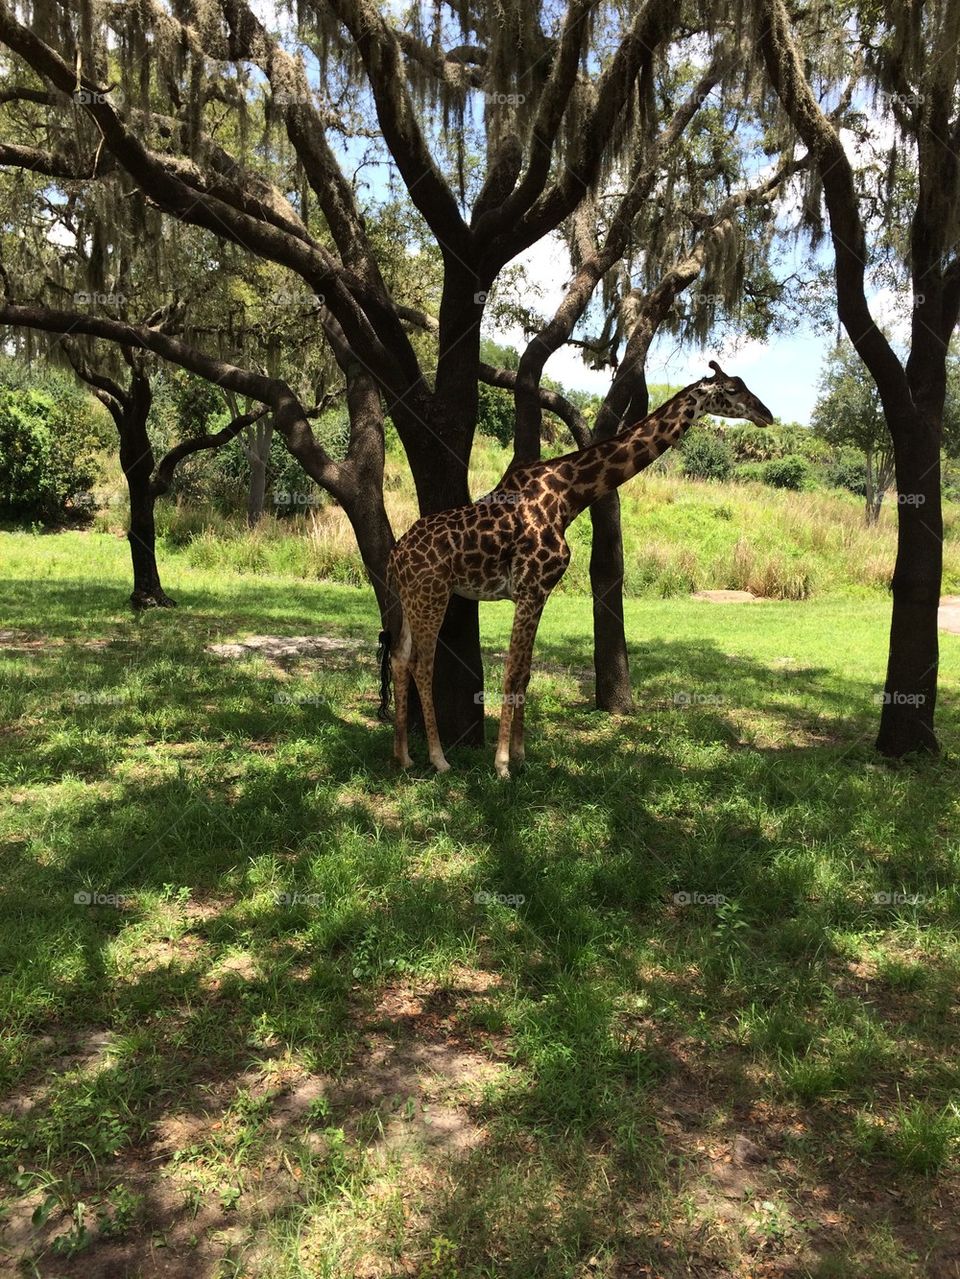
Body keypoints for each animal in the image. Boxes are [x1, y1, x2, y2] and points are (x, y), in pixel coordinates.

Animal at [379, 361, 773, 778]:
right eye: (731, 390)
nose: (766, 414)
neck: (569, 496)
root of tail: (395, 557)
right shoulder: (531, 588)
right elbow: (512, 671)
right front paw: (502, 765)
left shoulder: (540, 593)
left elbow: (525, 671)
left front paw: (521, 756)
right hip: (432, 593)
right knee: (422, 664)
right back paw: (438, 759)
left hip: (411, 598)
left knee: (400, 658)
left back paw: (402, 756)